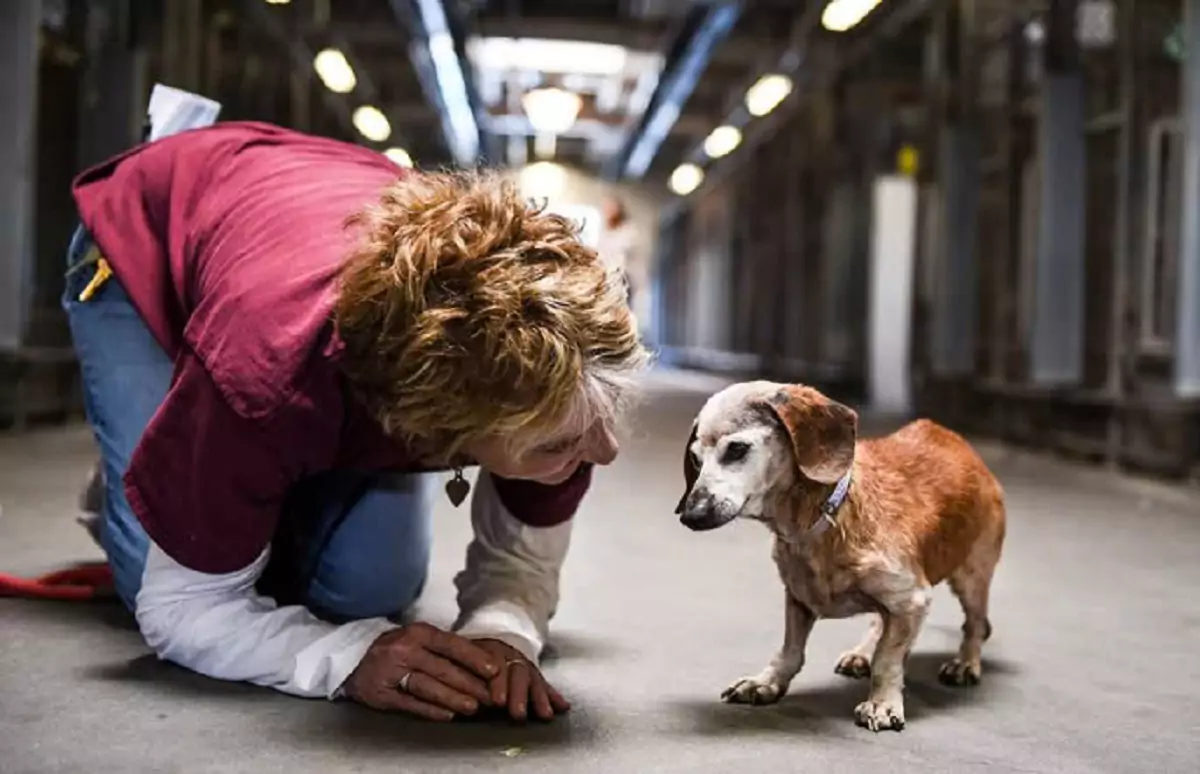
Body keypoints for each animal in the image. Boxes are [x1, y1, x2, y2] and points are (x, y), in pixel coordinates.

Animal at [676, 379, 1003, 729]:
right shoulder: (799, 600)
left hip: (971, 578)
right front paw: (766, 682)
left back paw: (965, 664)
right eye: (695, 460)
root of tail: (959, 443)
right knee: (880, 622)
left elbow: (887, 660)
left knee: (977, 624)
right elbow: (790, 650)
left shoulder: (912, 600)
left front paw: (882, 703)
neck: (824, 520)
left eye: (736, 449)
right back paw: (862, 653)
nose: (690, 516)